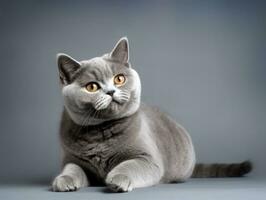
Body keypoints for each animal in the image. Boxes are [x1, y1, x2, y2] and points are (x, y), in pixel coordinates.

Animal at [51, 36, 251, 191]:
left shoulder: (148, 160)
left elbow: (129, 165)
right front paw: (63, 181)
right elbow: (72, 169)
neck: (101, 133)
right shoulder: (72, 159)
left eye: (119, 79)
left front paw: (117, 179)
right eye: (92, 87)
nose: (110, 91)